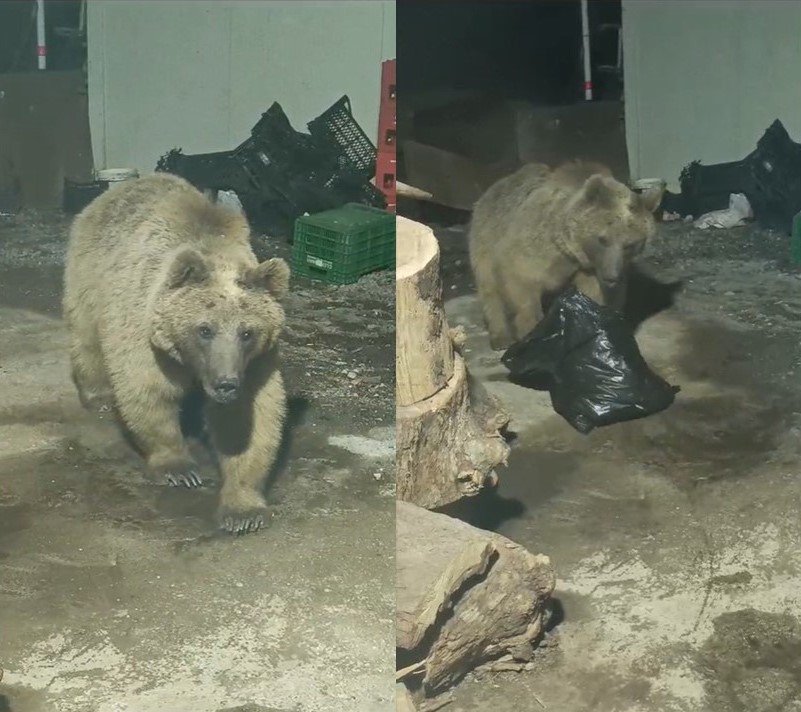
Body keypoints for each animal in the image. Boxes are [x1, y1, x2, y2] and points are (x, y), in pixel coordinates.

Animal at [62, 172, 290, 536]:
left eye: (247, 332)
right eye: (204, 329)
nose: (225, 384)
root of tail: (124, 185)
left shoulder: (255, 364)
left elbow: (247, 420)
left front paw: (243, 510)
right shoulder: (146, 333)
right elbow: (149, 390)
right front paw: (179, 468)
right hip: (90, 270)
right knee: (86, 332)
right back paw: (97, 394)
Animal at [468, 161, 664, 350]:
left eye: (631, 244)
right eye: (603, 239)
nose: (611, 277)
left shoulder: (590, 269)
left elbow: (596, 296)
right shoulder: (533, 246)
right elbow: (520, 279)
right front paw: (531, 331)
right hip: (484, 236)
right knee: (489, 288)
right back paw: (500, 338)